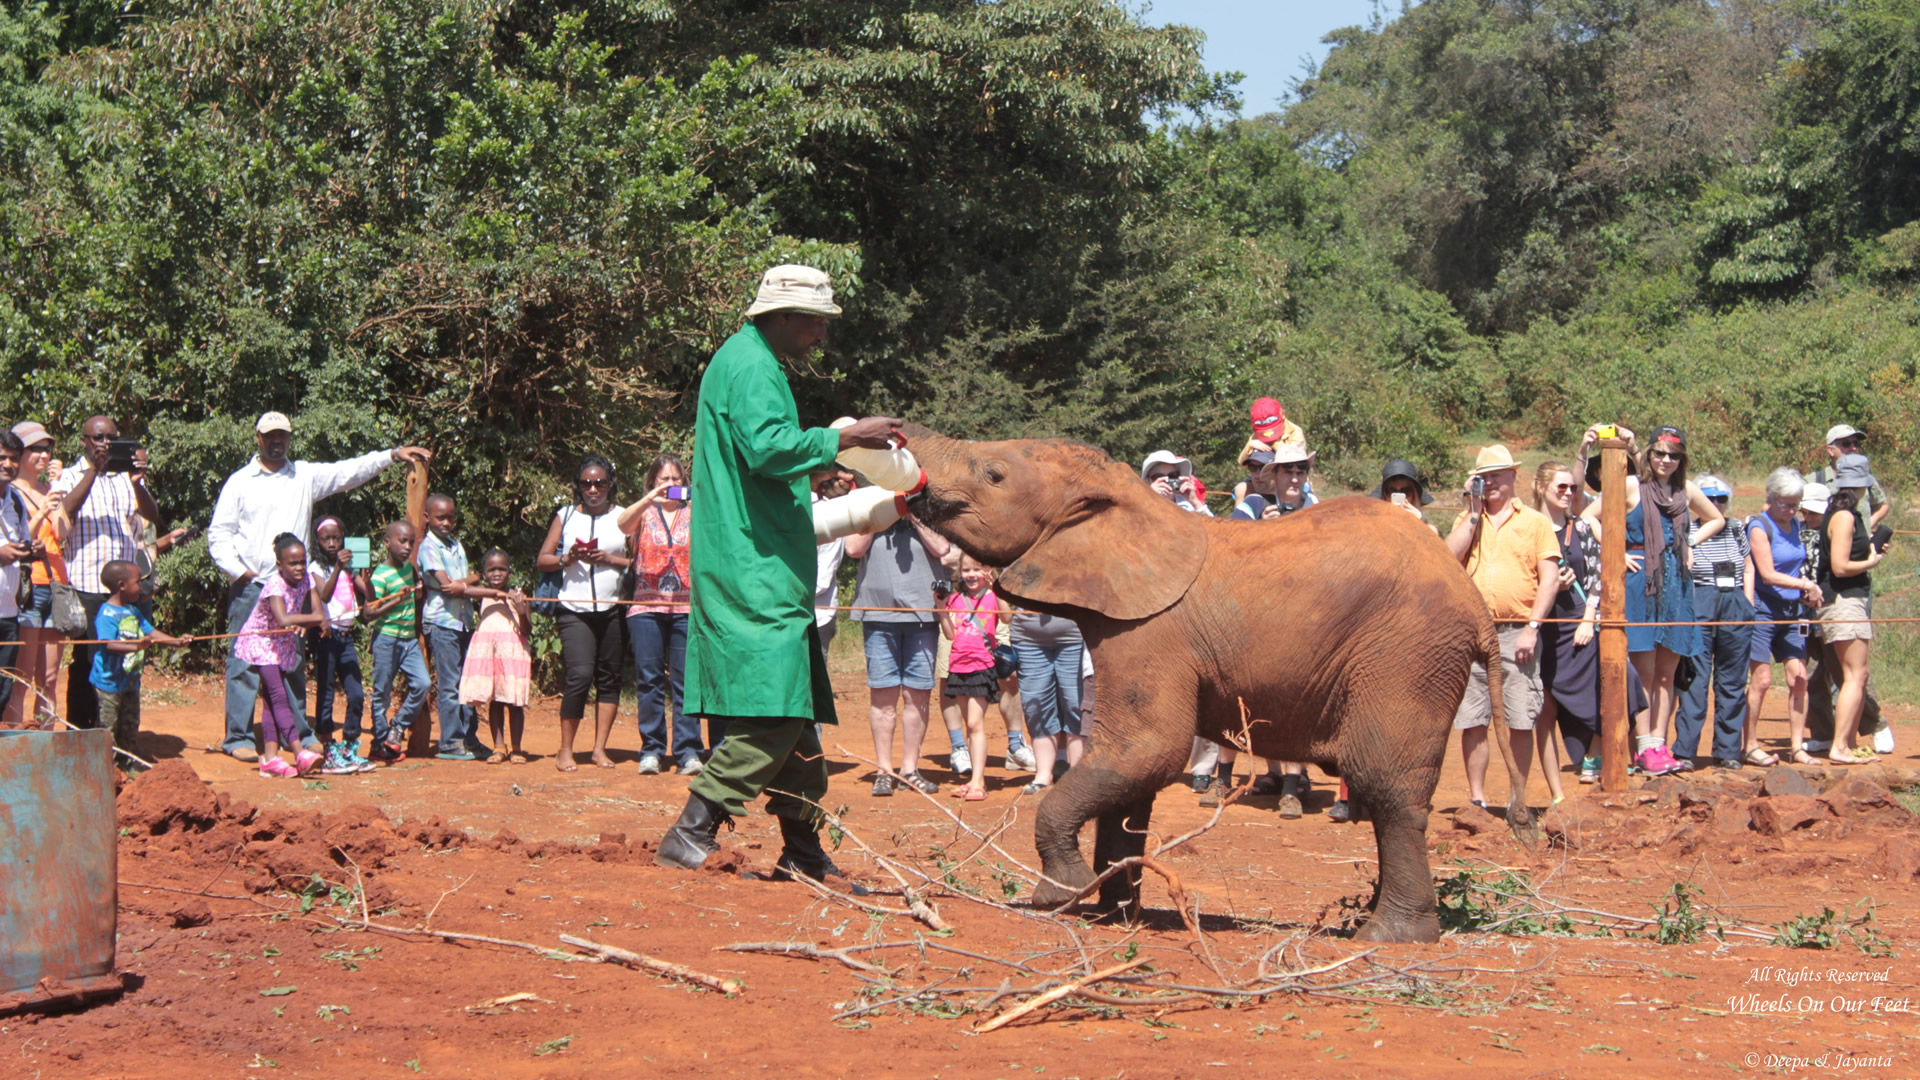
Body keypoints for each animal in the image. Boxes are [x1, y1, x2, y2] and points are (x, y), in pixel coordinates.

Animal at [902, 424, 1528, 937]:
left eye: (993, 474)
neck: (1132, 508)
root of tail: (1476, 605)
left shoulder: (1152, 632)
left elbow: (1149, 751)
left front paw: (1061, 896)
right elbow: (1132, 774)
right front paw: (1113, 914)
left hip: (1407, 654)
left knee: (1387, 787)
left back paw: (1388, 937)